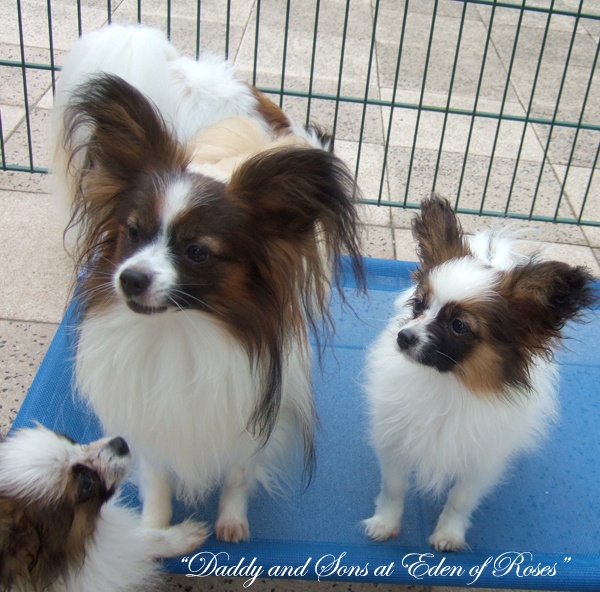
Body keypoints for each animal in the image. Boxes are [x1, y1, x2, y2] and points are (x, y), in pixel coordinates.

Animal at [51, 25, 364, 544]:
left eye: (197, 252)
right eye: (133, 232)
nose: (130, 278)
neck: (182, 330)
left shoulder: (256, 412)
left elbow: (238, 473)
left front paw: (231, 522)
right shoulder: (149, 417)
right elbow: (155, 477)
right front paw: (155, 532)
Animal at [360, 193, 596, 552]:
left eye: (459, 326)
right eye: (419, 305)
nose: (403, 337)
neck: (448, 384)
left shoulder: (480, 462)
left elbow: (460, 500)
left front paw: (448, 534)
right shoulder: (396, 442)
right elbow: (394, 489)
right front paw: (385, 524)